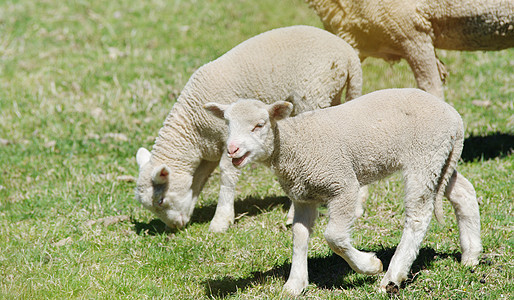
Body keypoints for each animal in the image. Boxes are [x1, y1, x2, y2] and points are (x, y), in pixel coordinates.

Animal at [134, 25, 362, 232]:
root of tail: (349, 55)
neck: (192, 128)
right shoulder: (209, 151)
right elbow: (197, 181)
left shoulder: (228, 142)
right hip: (332, 94)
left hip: (315, 92)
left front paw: (220, 221)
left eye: (160, 200)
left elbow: (227, 174)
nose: (174, 227)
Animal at [203, 88, 480, 294]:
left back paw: (392, 277)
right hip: (441, 158)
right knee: (463, 193)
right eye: (227, 125)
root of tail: (455, 118)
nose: (232, 150)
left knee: (418, 215)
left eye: (259, 125)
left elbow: (334, 237)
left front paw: (369, 265)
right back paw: (471, 255)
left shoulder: (342, 184)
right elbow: (299, 237)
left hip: (424, 155)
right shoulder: (303, 195)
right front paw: (295, 284)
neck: (292, 145)